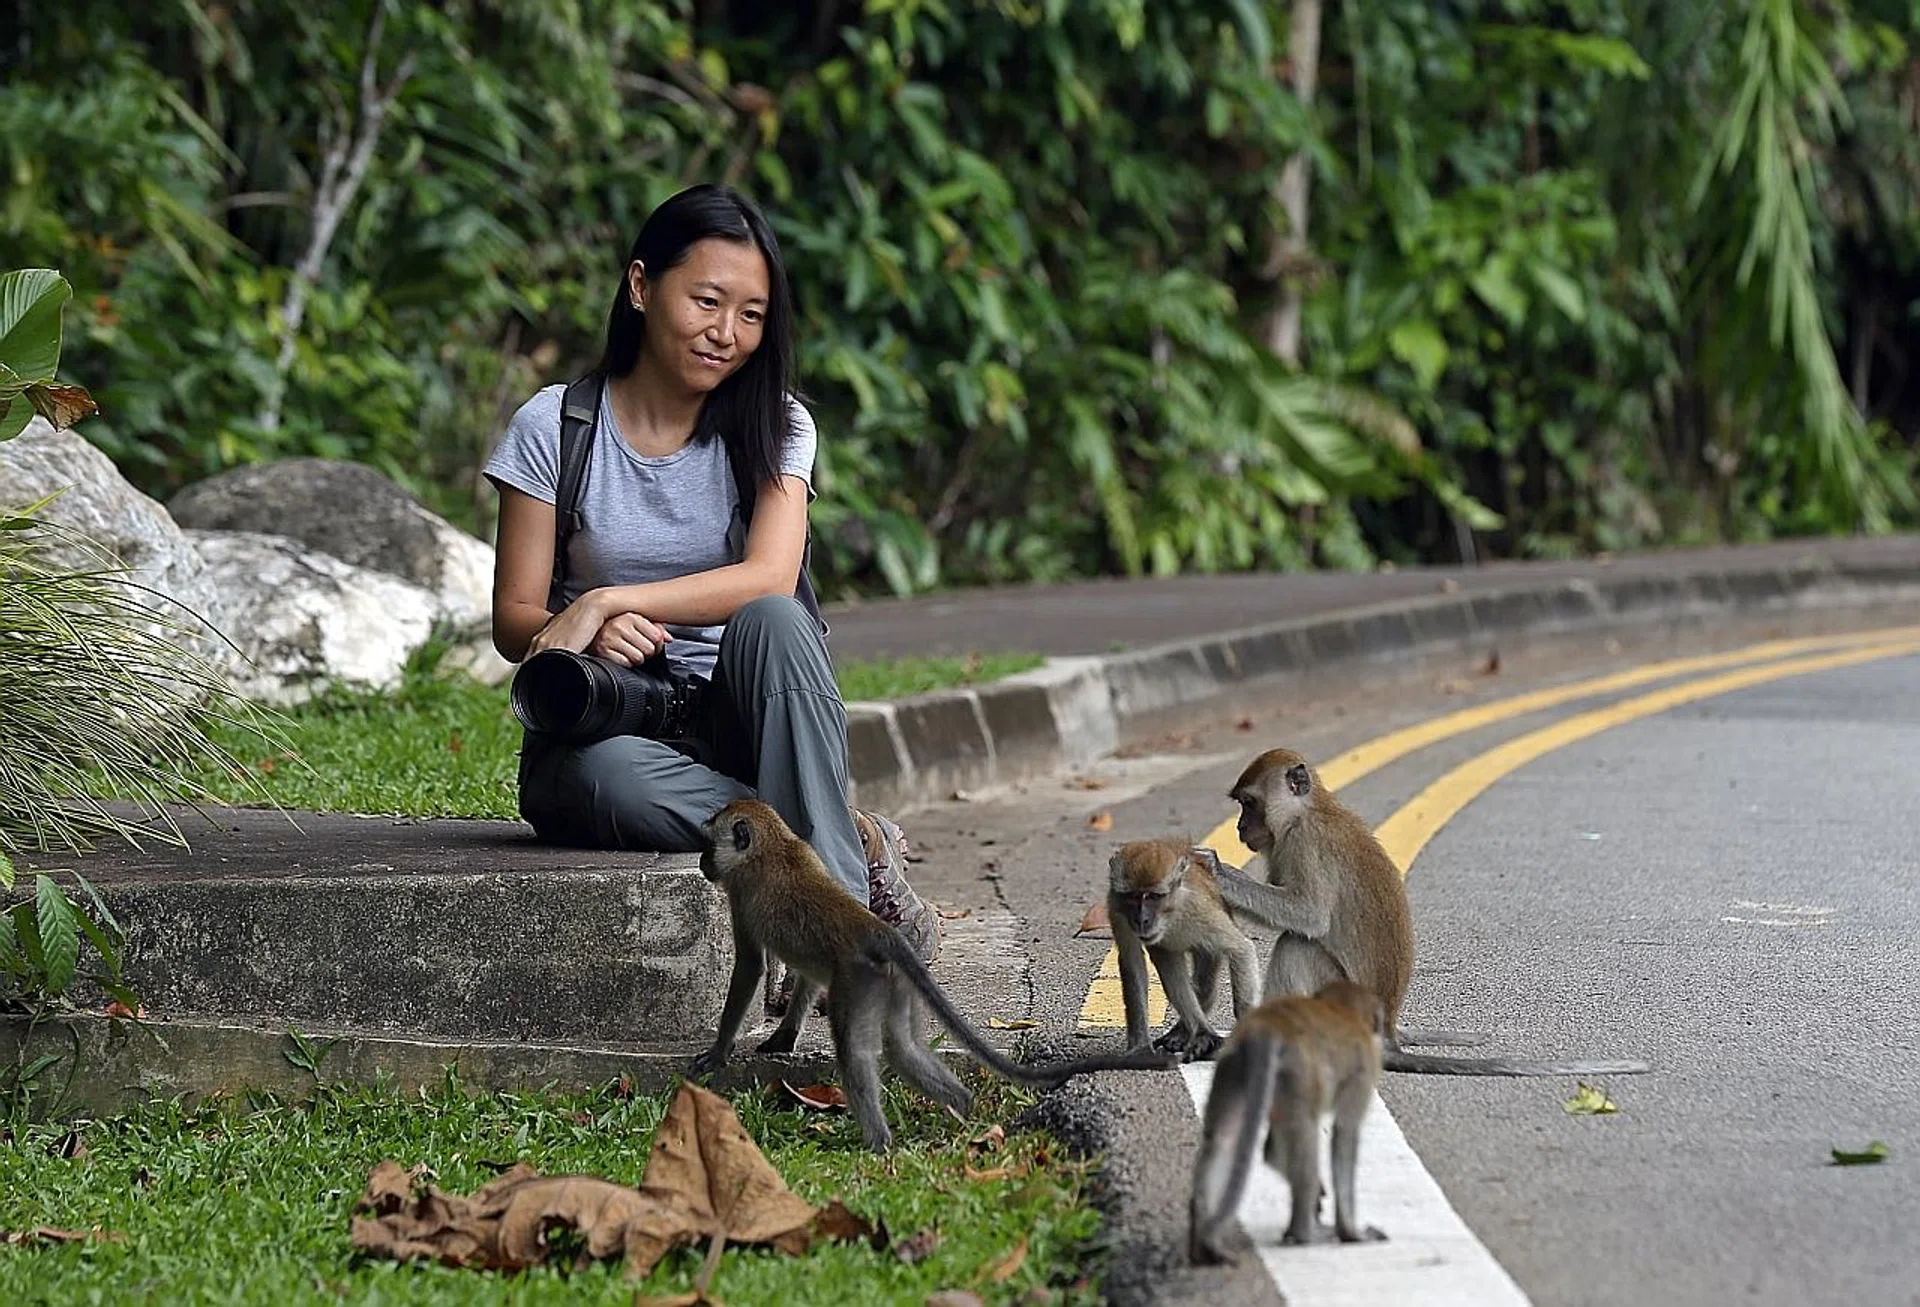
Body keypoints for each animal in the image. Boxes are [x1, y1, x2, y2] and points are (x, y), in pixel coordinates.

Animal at [689, 798, 1177, 1151]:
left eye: (710, 843)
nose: (703, 863)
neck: (774, 843)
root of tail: (876, 929)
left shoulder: (741, 895)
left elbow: (750, 967)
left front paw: (718, 1051)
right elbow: (807, 975)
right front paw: (784, 1034)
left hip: (859, 980)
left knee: (856, 1053)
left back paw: (879, 1143)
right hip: (893, 982)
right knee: (902, 1049)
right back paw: (961, 1110)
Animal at [1108, 838, 1262, 1061]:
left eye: (1154, 896)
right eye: (1133, 896)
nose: (1141, 920)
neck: (1171, 915)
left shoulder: (1200, 909)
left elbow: (1241, 949)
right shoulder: (1116, 908)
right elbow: (1132, 962)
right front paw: (1140, 1047)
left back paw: (1200, 1035)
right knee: (1165, 955)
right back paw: (1197, 1033)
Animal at [1189, 980, 1389, 1262]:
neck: (1345, 1011)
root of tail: (1268, 1028)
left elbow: (1272, 1154)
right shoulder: (1363, 1071)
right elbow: (1345, 1132)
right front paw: (1351, 1232)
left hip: (1233, 1067)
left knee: (1221, 1140)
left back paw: (1203, 1242)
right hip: (1298, 1074)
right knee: (1307, 1131)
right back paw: (1305, 1232)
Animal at [1204, 748, 1650, 1077]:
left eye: (1250, 804)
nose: (1241, 827)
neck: (1309, 811)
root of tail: (1385, 1030)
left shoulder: (1305, 845)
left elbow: (1307, 916)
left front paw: (1214, 869)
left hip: (1338, 1001)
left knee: (1298, 944)